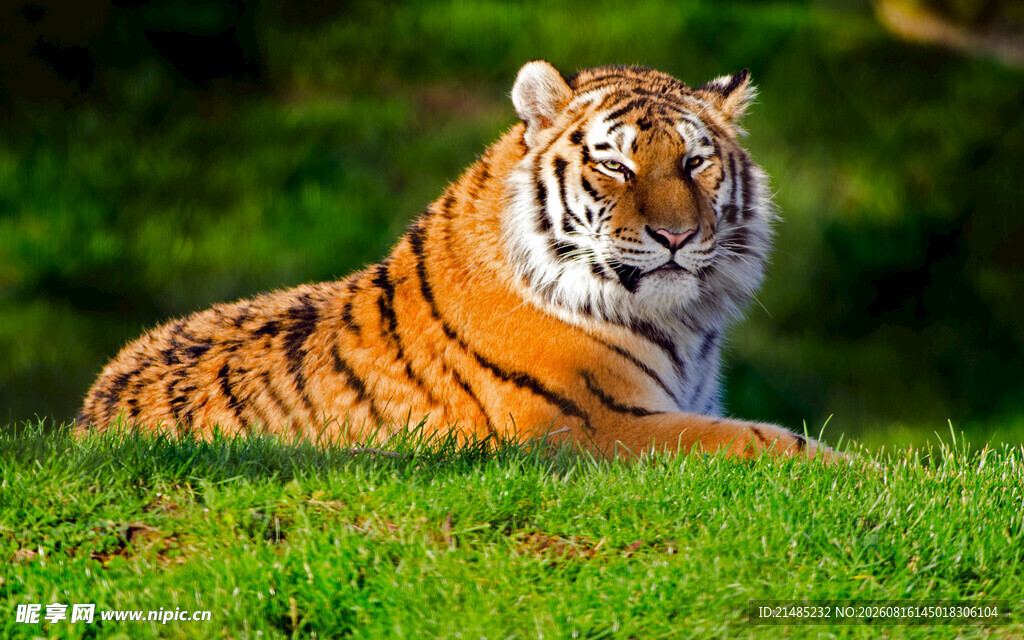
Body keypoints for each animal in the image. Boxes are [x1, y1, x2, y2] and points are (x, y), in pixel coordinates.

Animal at [78, 60, 838, 461]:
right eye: (616, 165)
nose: (676, 236)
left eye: (695, 163)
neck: (681, 327)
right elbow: (774, 443)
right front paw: (862, 472)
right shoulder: (593, 428)